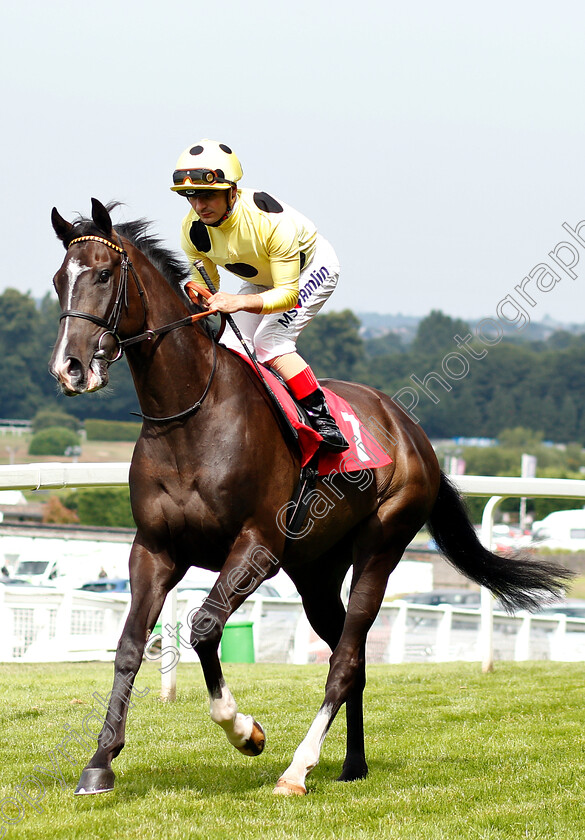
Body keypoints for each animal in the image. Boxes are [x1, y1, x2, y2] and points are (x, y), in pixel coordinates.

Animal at [49, 200, 572, 796]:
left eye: (103, 274)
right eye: (58, 280)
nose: (70, 367)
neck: (189, 416)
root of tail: (413, 431)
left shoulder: (256, 546)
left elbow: (204, 627)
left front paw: (245, 731)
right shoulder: (154, 549)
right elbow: (130, 645)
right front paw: (100, 762)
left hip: (380, 546)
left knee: (345, 658)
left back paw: (298, 768)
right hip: (316, 570)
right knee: (353, 657)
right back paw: (351, 764)